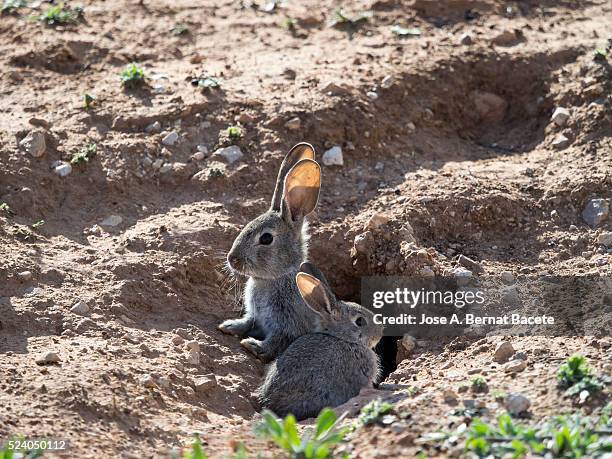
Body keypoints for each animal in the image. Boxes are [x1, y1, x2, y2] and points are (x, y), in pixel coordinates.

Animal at [220, 144, 326, 362]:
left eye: (266, 238)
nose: (232, 259)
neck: (276, 278)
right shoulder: (256, 317)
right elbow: (248, 322)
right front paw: (229, 325)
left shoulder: (287, 326)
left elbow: (275, 342)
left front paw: (253, 345)